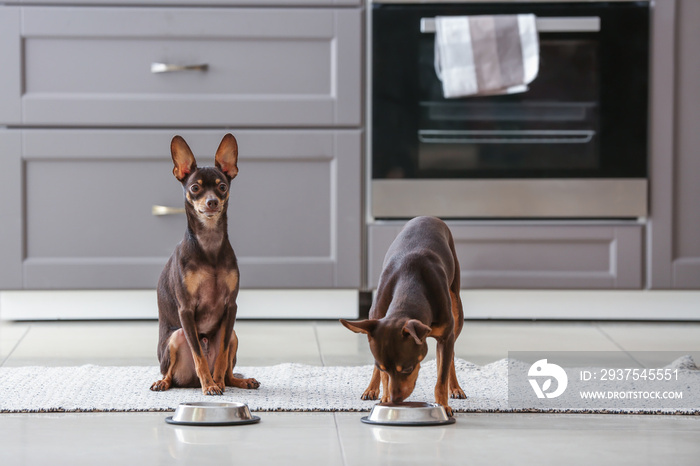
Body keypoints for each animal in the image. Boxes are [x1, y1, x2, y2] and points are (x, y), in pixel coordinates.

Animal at [340, 215, 464, 416]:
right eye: (383, 367)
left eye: (408, 368)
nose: (394, 400)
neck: (409, 287)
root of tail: (427, 217)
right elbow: (384, 377)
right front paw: (383, 396)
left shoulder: (446, 337)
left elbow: (441, 377)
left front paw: (443, 406)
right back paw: (371, 389)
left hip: (456, 308)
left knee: (450, 356)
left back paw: (455, 387)